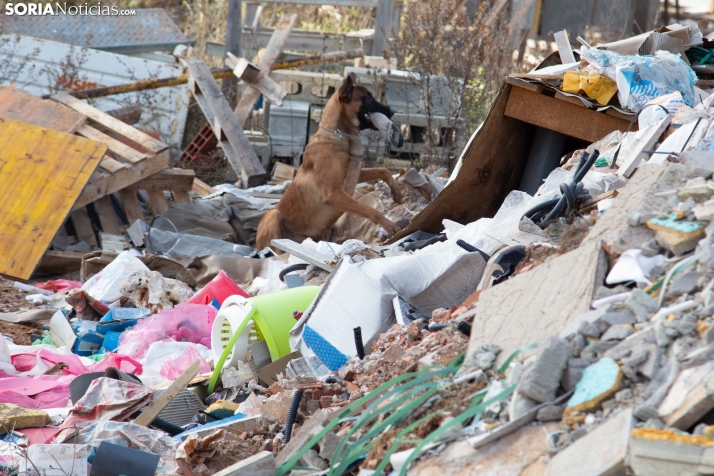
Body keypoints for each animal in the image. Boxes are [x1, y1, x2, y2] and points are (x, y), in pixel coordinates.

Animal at [254, 73, 400, 251]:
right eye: (368, 98)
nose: (392, 111)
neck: (340, 135)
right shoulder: (334, 193)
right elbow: (368, 208)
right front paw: (390, 225)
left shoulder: (355, 176)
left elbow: (383, 171)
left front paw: (397, 193)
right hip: (273, 215)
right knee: (275, 246)